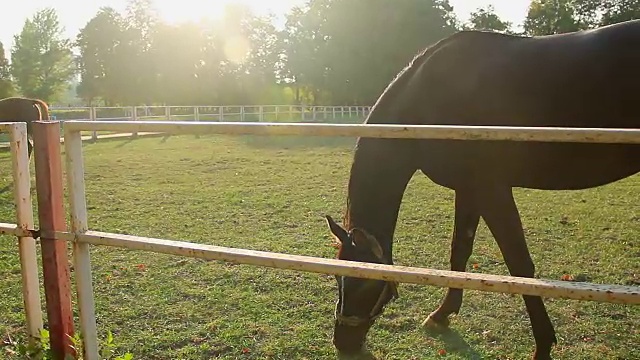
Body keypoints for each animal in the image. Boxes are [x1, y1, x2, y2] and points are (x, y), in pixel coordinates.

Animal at [328, 19, 636, 360]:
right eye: (337, 277)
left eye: (364, 283)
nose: (344, 342)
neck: (427, 99)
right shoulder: (468, 189)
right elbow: (460, 250)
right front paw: (441, 314)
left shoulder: (492, 190)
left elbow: (520, 266)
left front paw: (543, 345)